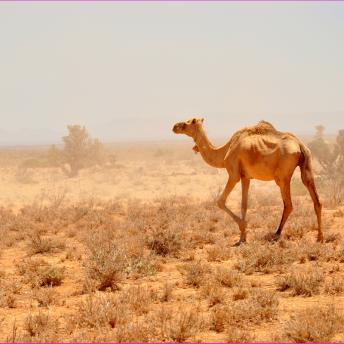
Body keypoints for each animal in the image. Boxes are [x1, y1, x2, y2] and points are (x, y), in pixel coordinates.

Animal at [173, 117, 324, 245]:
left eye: (187, 122)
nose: (174, 126)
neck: (224, 151)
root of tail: (300, 145)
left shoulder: (234, 174)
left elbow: (220, 201)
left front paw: (243, 228)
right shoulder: (246, 177)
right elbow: (244, 204)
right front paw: (242, 238)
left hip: (282, 177)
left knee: (289, 205)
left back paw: (276, 234)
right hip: (306, 167)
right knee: (316, 200)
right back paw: (319, 237)